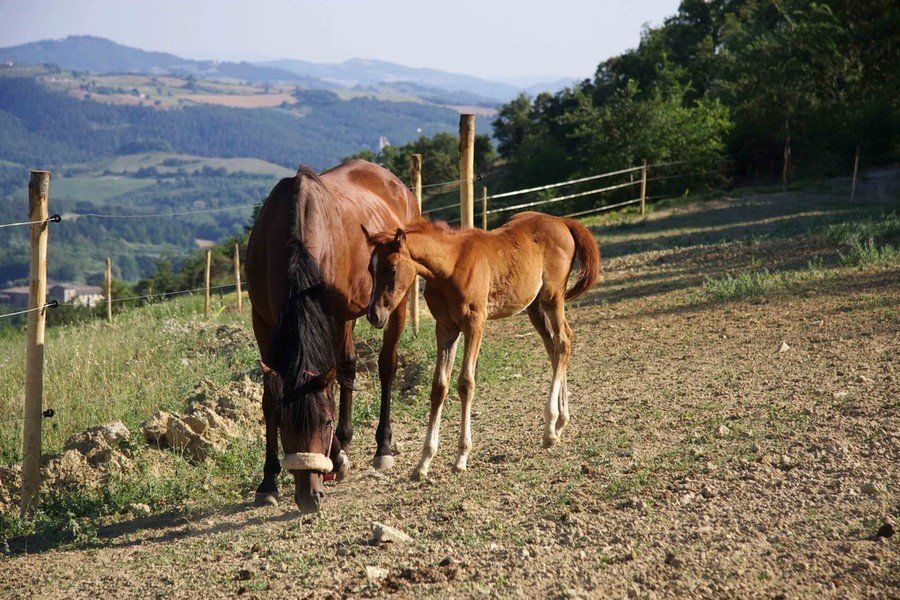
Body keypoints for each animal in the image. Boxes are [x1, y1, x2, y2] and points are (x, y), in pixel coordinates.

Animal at [246, 160, 418, 512]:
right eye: (283, 425)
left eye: (324, 422)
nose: (308, 497)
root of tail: (396, 184)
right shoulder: (263, 321)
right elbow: (270, 396)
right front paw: (268, 481)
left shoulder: (335, 316)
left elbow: (332, 382)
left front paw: (338, 456)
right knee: (349, 367)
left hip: (395, 303)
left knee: (385, 366)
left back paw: (382, 447)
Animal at [363, 211, 601, 479]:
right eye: (370, 269)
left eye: (392, 270)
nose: (374, 315)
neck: (450, 266)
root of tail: (561, 221)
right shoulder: (445, 328)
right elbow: (439, 387)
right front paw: (424, 461)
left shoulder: (475, 323)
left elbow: (466, 383)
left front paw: (461, 457)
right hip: (534, 306)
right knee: (553, 347)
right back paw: (560, 422)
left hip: (553, 297)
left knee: (563, 341)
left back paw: (550, 428)